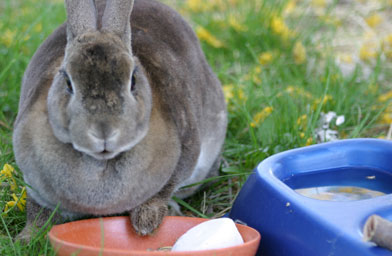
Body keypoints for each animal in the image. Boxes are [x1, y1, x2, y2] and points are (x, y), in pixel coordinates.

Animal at [13, 0, 227, 240]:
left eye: (132, 79)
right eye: (68, 82)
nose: (103, 131)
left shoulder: (186, 146)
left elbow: (164, 188)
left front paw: (146, 222)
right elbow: (39, 210)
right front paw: (27, 238)